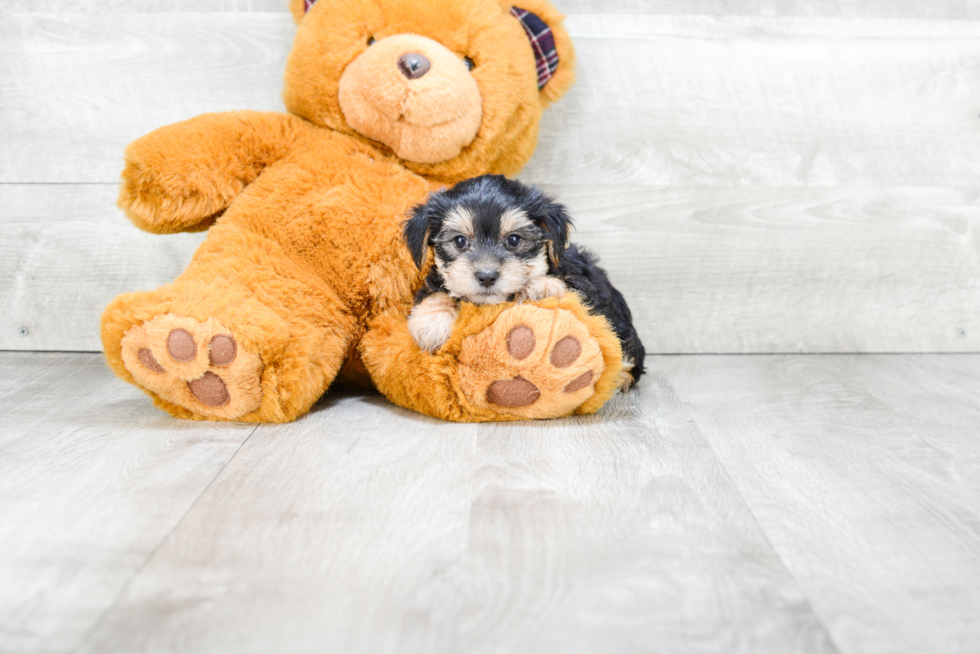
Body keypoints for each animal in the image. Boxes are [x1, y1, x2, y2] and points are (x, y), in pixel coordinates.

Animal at [404, 176, 644, 390]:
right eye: (460, 241)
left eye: (513, 240)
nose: (487, 276)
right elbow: (437, 291)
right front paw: (431, 322)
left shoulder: (583, 285)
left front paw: (540, 286)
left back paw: (620, 378)